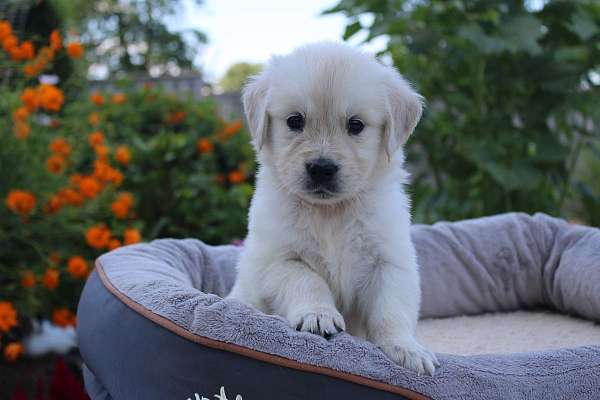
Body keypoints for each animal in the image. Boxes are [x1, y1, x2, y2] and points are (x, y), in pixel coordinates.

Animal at [227, 42, 438, 374]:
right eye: (295, 121)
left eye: (356, 125)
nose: (321, 168)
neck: (330, 212)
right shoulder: (275, 259)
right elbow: (306, 279)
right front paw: (318, 315)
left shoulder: (390, 262)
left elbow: (391, 309)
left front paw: (405, 349)